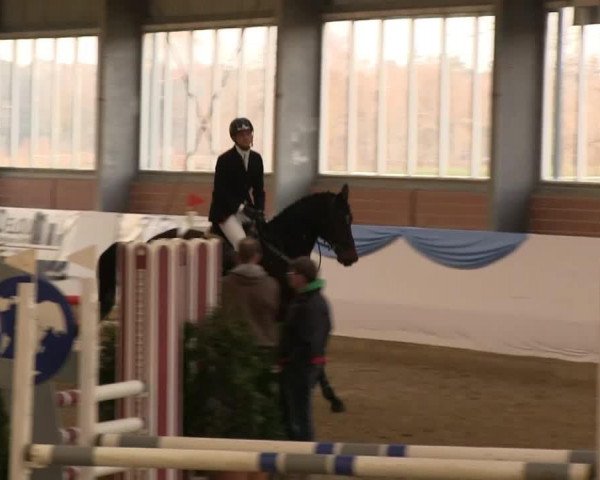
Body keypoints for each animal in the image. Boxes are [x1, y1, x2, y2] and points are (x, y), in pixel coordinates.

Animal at [96, 184, 358, 412]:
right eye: (340, 219)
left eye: (351, 218)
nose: (351, 257)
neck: (280, 248)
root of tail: (144, 242)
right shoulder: (281, 312)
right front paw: (332, 399)